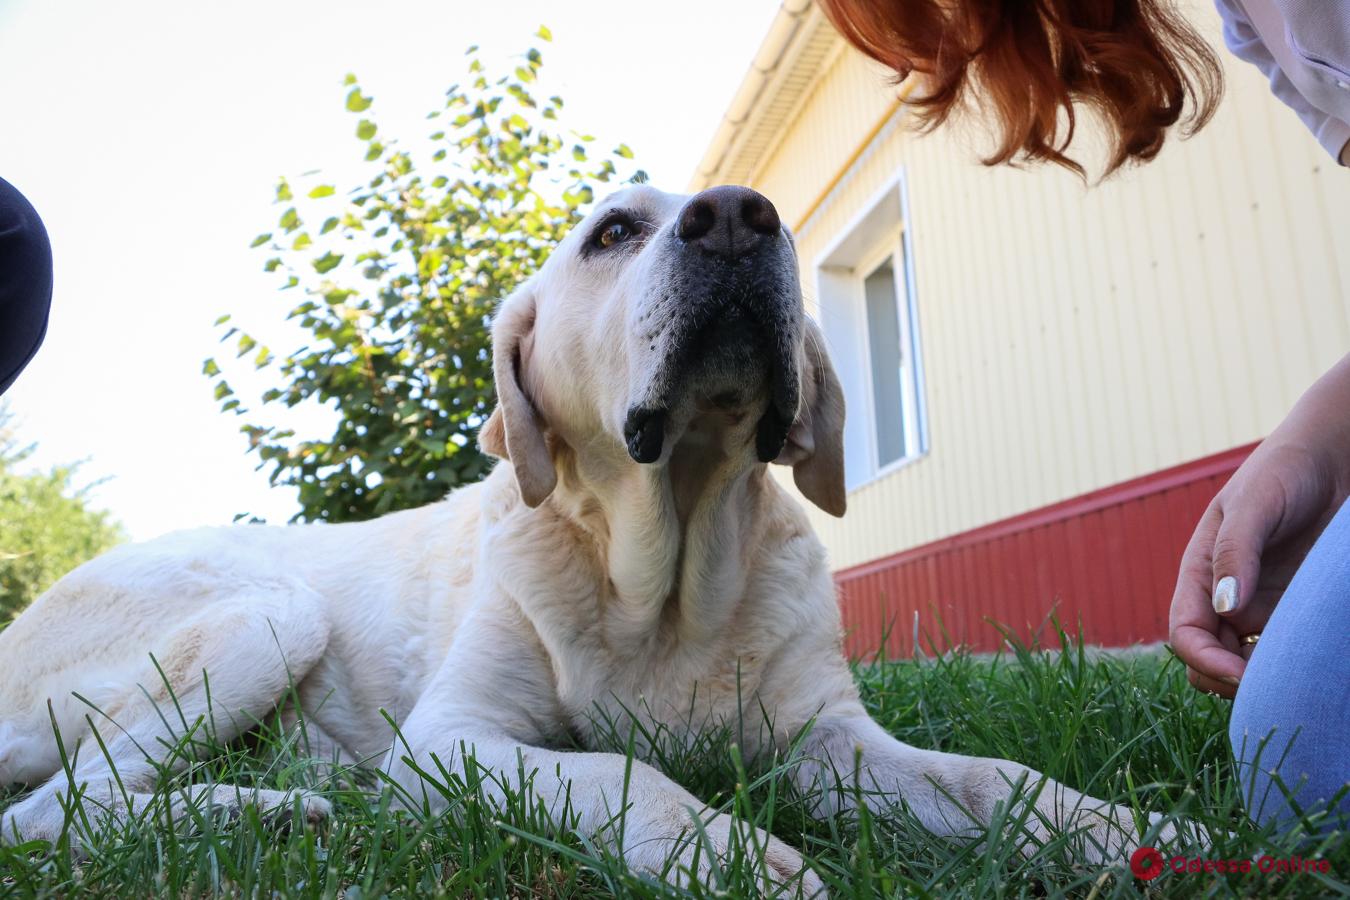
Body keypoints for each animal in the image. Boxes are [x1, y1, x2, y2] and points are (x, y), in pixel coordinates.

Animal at [0, 184, 1177, 895]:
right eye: (614, 231)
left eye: (765, 211)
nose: (738, 218)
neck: (669, 580)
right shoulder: (455, 741)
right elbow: (621, 771)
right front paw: (740, 862)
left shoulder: (833, 740)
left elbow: (990, 779)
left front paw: (1130, 836)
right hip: (265, 612)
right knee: (52, 811)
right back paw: (261, 813)